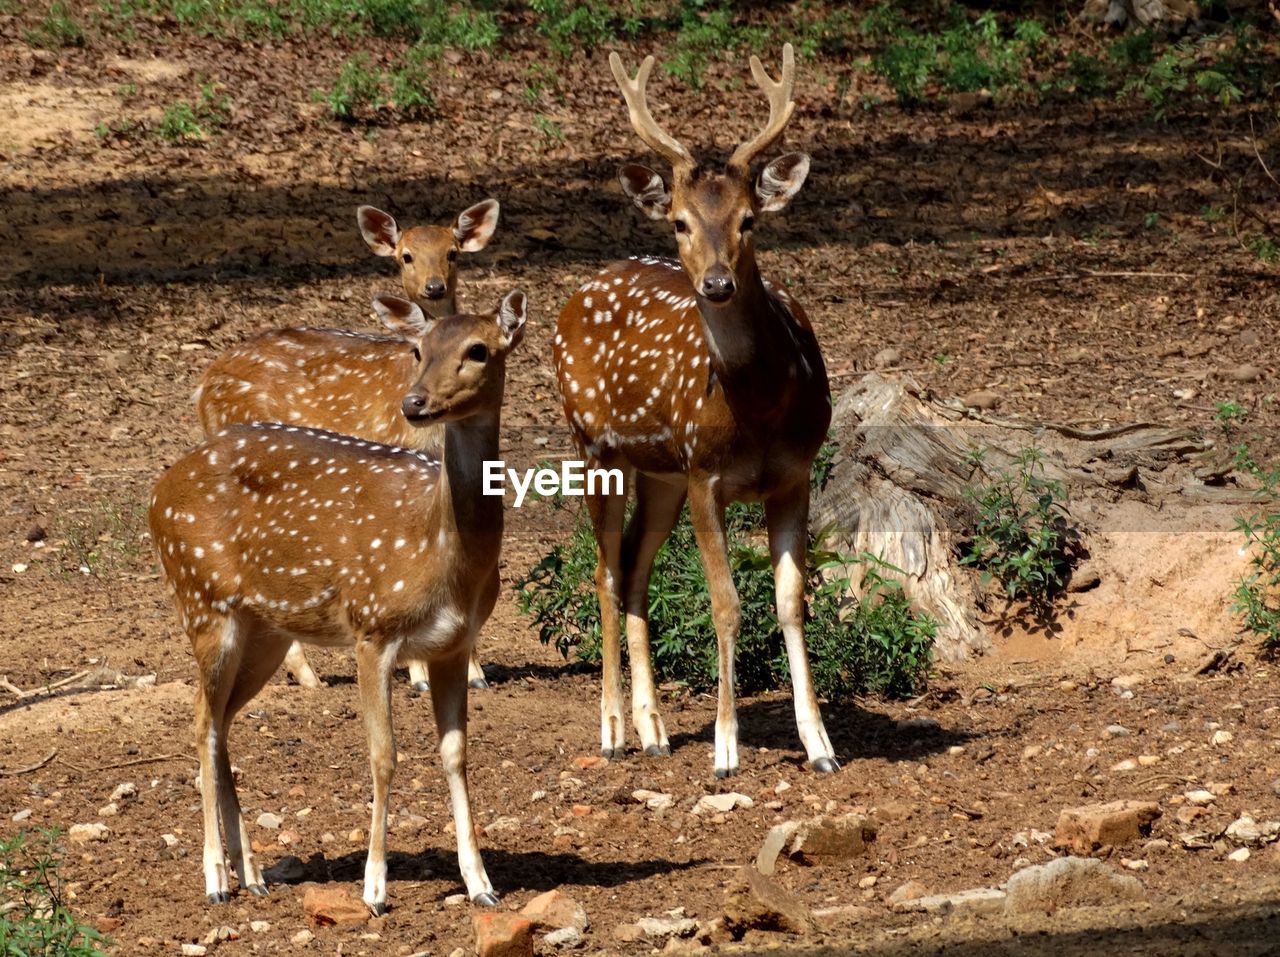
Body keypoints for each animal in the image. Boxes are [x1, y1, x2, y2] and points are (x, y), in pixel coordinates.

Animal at [151, 289, 524, 910]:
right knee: (201, 723)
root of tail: (157, 493)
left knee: (221, 723)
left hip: (264, 632)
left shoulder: (452, 644)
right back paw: (215, 878)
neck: (441, 552)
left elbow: (456, 754)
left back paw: (252, 873)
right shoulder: (372, 625)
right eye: (417, 349)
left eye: (478, 350)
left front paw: (481, 884)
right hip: (202, 602)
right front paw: (374, 888)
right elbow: (383, 755)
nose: (414, 402)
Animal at [195, 198, 499, 690]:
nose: (433, 287)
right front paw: (419, 674)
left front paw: (473, 672)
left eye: (453, 253)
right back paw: (308, 676)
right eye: (405, 256)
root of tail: (202, 387)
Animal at [552, 42, 839, 777]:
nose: (715, 283)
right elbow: (727, 604)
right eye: (681, 221)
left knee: (633, 566)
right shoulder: (707, 474)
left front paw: (820, 744)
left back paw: (653, 726)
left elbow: (790, 602)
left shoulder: (793, 474)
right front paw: (726, 747)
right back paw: (612, 728)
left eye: (749, 219)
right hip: (593, 445)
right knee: (602, 570)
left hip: (661, 473)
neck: (760, 407)